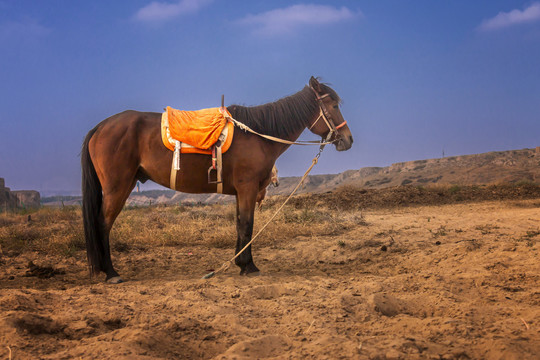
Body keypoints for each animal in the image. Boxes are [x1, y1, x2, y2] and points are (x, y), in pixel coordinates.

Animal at [79, 76, 350, 284]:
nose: (348, 139)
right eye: (334, 105)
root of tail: (100, 127)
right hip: (117, 188)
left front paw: (241, 263)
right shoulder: (248, 188)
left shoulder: (241, 192)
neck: (258, 135)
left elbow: (240, 225)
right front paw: (249, 266)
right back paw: (111, 273)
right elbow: (247, 225)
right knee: (103, 224)